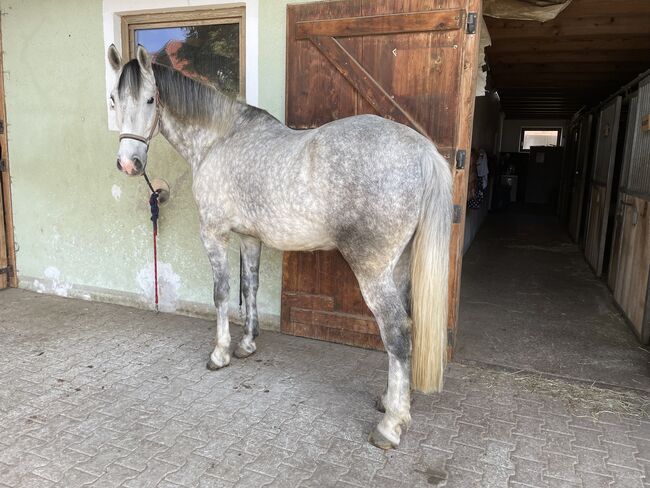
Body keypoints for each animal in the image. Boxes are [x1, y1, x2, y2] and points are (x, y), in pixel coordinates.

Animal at [107, 45, 450, 450]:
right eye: (113, 100)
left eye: (150, 99)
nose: (129, 164)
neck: (218, 140)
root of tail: (423, 150)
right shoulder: (249, 237)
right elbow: (250, 286)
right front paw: (246, 344)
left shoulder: (214, 234)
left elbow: (222, 293)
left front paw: (220, 353)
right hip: (399, 267)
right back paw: (390, 400)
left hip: (373, 270)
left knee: (396, 331)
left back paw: (391, 425)